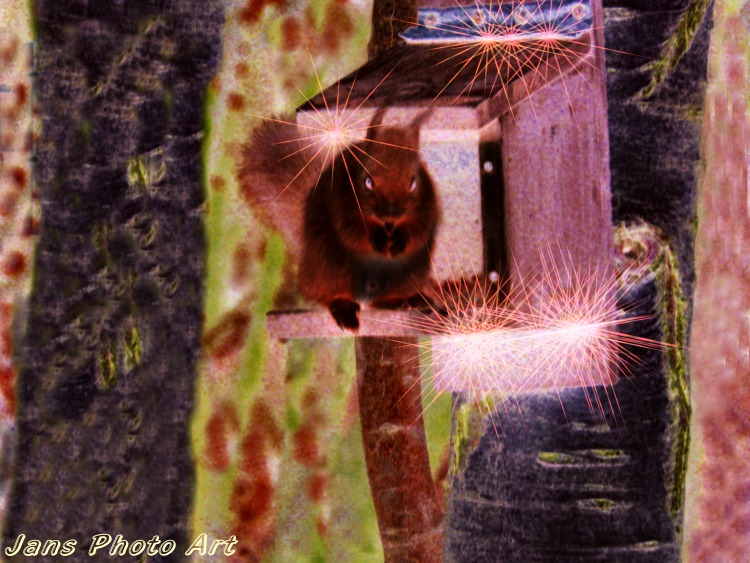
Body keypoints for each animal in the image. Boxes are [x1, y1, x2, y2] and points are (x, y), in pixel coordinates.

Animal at [237, 110, 440, 331]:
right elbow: (352, 229)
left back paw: (404, 299)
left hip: (409, 273)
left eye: (413, 182)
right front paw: (377, 238)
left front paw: (400, 239)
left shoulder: (427, 203)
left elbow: (419, 227)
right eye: (368, 181)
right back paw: (343, 308)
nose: (391, 213)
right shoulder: (341, 202)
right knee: (330, 294)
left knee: (378, 300)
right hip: (329, 267)